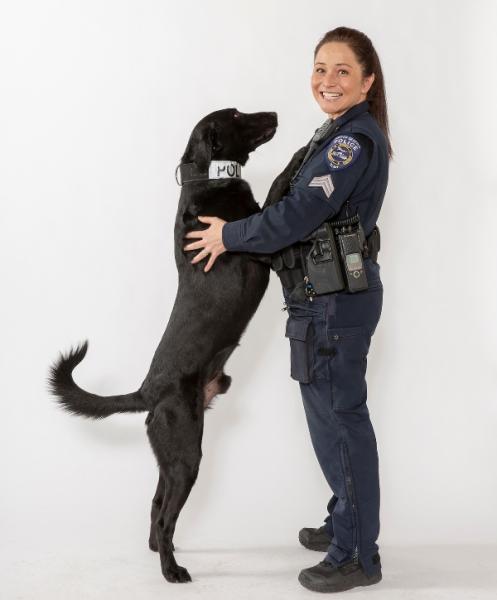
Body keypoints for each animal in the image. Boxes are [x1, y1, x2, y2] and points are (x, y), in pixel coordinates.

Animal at [47, 106, 298, 580]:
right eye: (237, 114)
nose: (274, 112)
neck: (209, 181)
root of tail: (148, 391)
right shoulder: (258, 244)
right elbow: (277, 192)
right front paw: (300, 156)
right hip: (185, 455)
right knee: (165, 514)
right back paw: (172, 571)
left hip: (171, 457)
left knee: (156, 505)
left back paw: (162, 554)